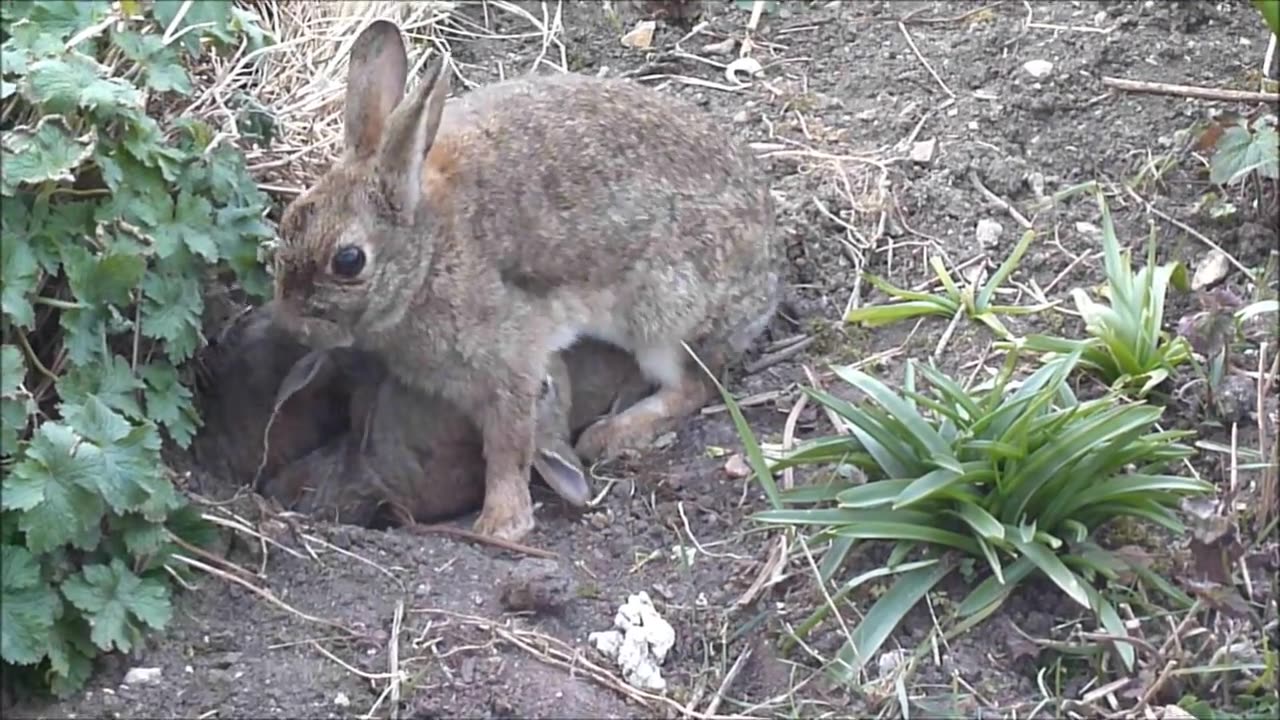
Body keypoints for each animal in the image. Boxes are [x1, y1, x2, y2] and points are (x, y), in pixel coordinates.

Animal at [270, 19, 778, 538]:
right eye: (288, 223)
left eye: (349, 261)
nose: (292, 323)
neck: (429, 253)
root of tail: (768, 266)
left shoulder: (511, 364)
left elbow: (510, 444)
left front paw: (499, 523)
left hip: (665, 320)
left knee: (694, 387)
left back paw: (608, 434)